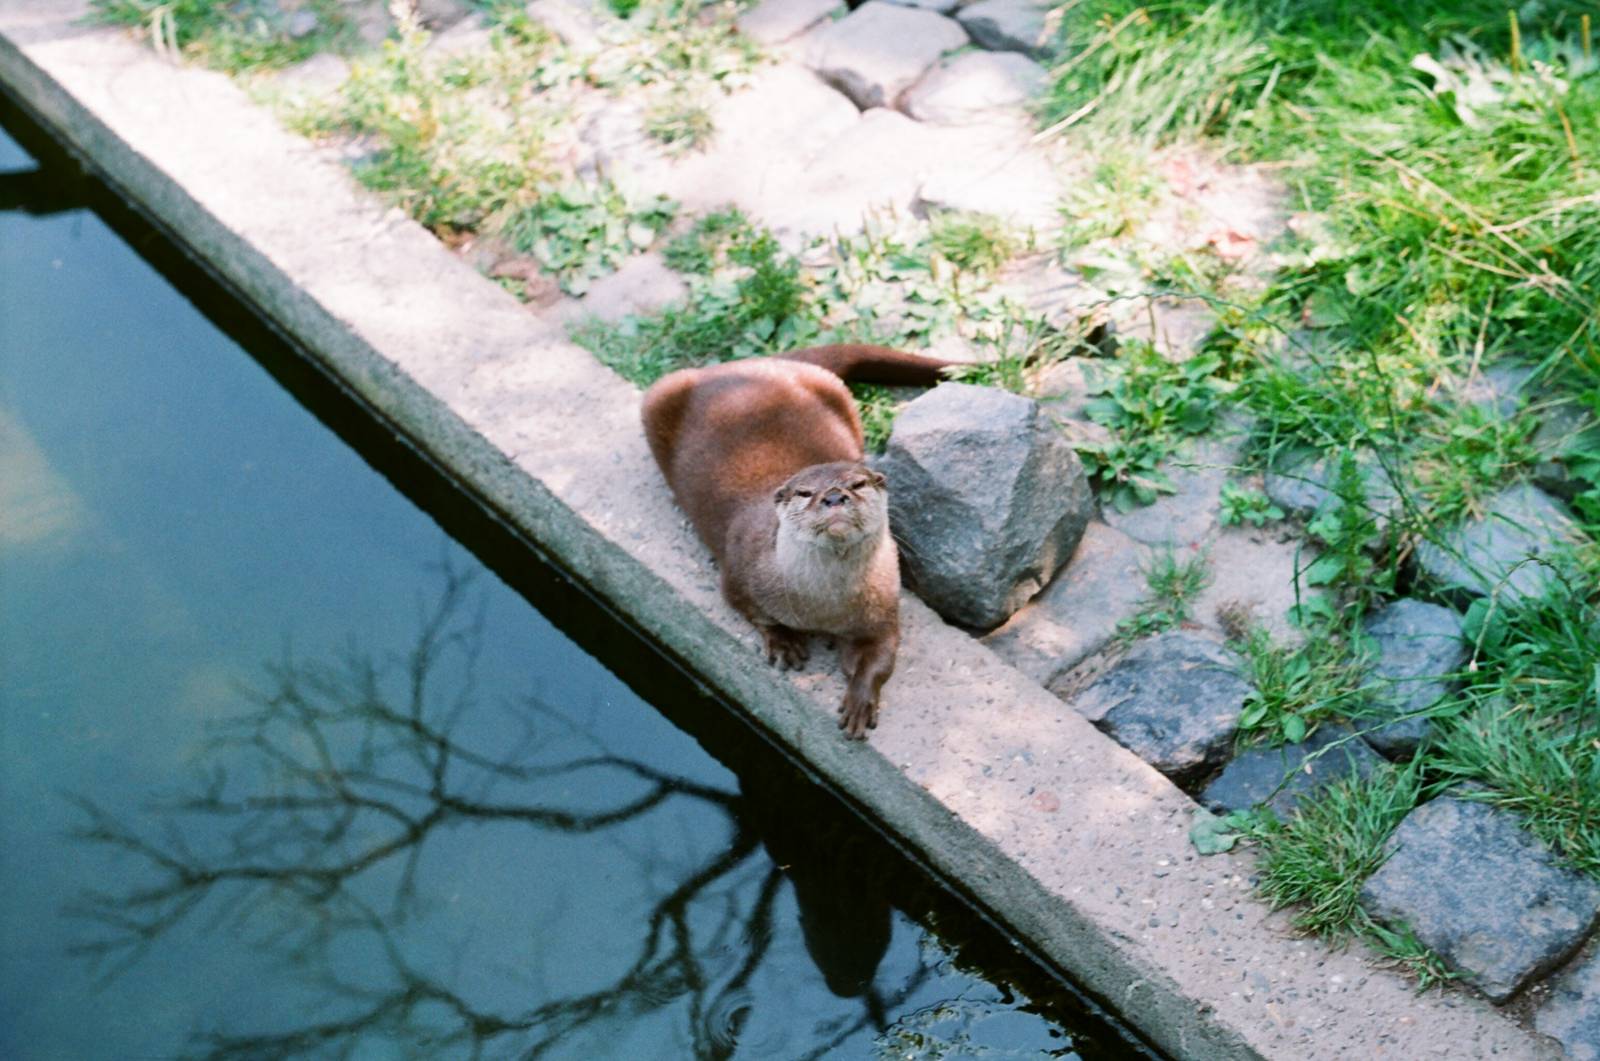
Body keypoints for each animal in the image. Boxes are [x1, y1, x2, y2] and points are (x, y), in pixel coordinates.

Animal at [641, 344, 954, 738]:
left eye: (858, 484)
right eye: (805, 492)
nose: (834, 496)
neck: (825, 607)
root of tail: (760, 363)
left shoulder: (883, 607)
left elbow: (881, 656)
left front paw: (860, 701)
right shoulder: (739, 574)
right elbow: (749, 609)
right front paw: (784, 642)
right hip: (659, 395)